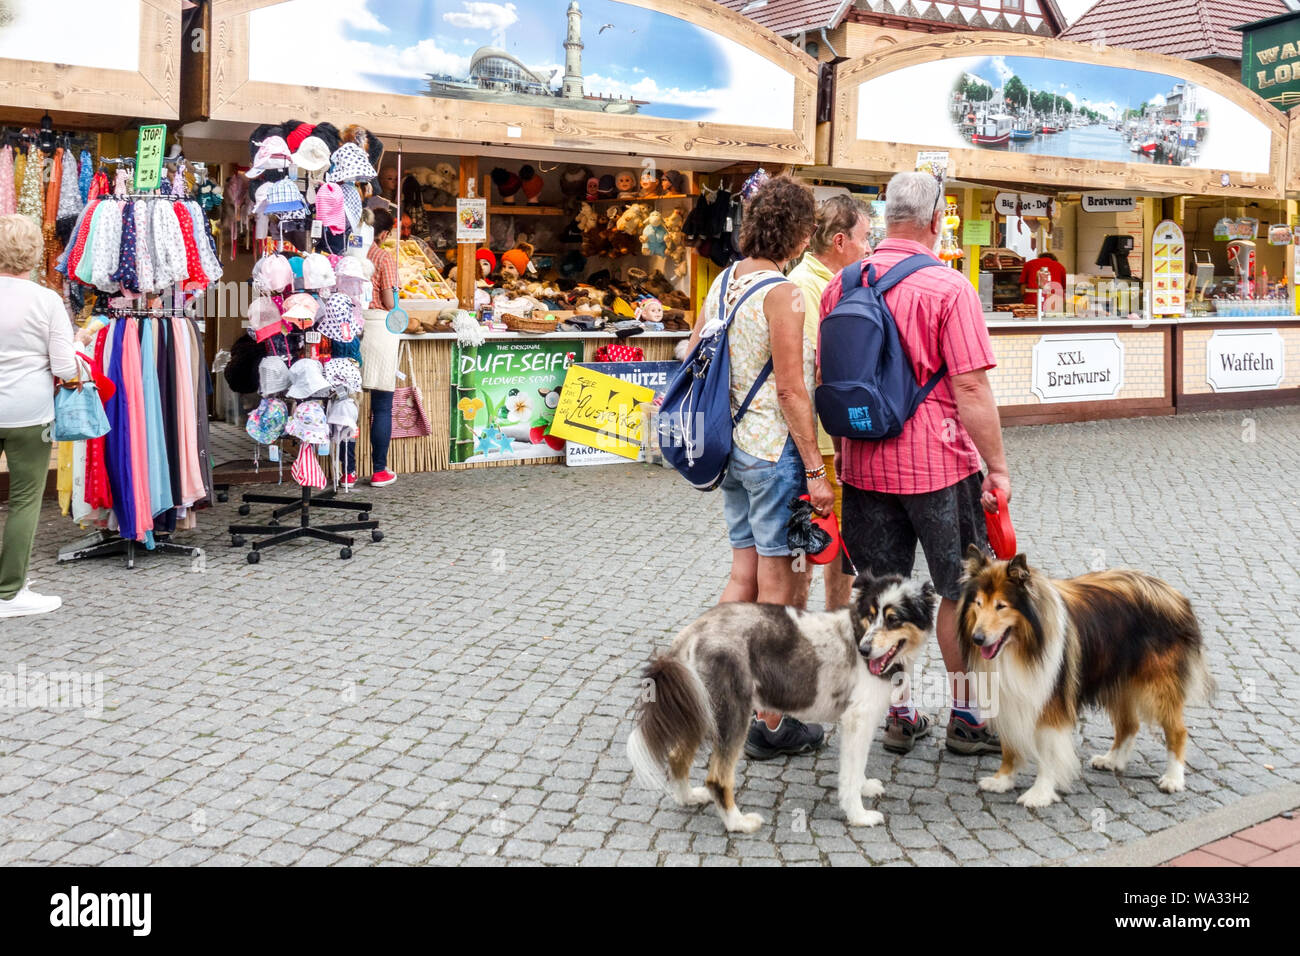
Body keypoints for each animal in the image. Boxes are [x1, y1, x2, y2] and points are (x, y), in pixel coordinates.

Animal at [626, 574, 935, 832]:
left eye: (893, 620)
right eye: (871, 617)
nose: (864, 650)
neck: (857, 633)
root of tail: (693, 631)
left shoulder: (863, 722)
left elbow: (857, 766)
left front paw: (865, 787)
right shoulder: (857, 719)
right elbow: (849, 774)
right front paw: (858, 815)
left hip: (700, 711)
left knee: (677, 757)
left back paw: (688, 797)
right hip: (732, 716)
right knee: (717, 779)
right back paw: (738, 823)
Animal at [956, 546, 1216, 806]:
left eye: (1001, 606)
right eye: (978, 603)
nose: (977, 638)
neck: (1021, 647)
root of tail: (1172, 593)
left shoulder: (1051, 703)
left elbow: (1048, 752)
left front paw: (1039, 793)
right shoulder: (1008, 698)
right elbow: (1009, 745)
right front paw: (1002, 780)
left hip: (1157, 686)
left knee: (1178, 731)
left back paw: (1173, 779)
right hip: (1118, 681)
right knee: (1129, 725)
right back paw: (1111, 761)